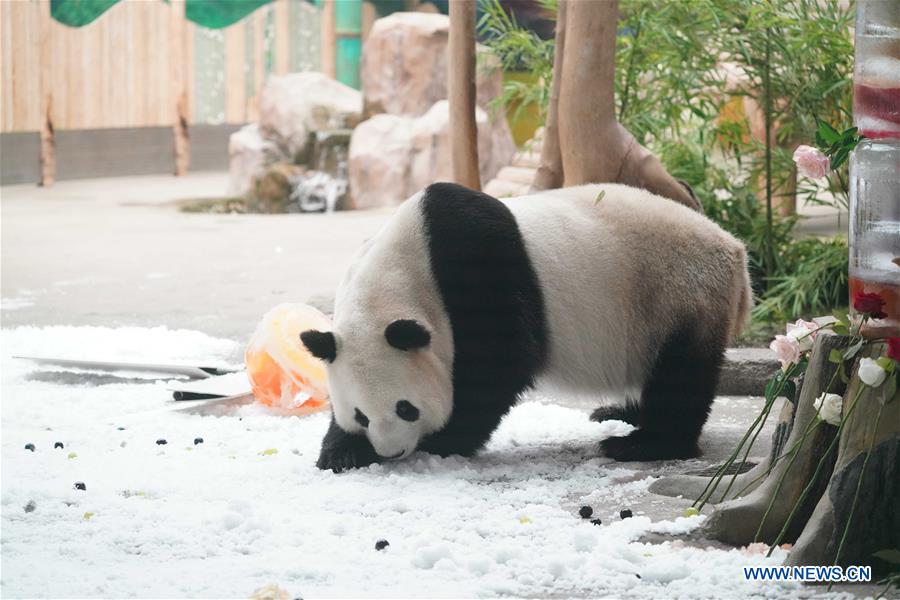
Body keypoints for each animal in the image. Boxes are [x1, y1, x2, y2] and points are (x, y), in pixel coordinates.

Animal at [298, 180, 748, 472]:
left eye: (405, 408)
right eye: (361, 415)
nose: (392, 454)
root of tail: (733, 249)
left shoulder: (478, 265)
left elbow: (501, 362)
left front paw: (446, 439)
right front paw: (341, 451)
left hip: (678, 291)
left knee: (680, 374)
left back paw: (643, 444)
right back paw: (619, 412)